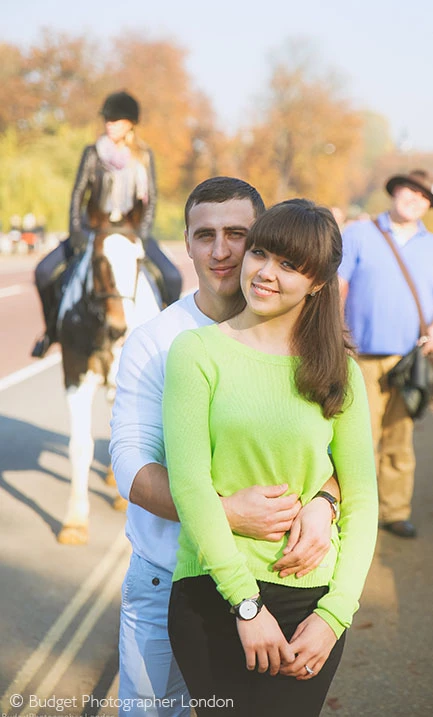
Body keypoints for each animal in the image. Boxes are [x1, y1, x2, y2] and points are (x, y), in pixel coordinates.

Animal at [55, 229, 160, 544]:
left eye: (138, 259)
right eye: (98, 259)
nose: (118, 328)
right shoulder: (75, 377)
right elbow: (80, 446)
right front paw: (75, 522)